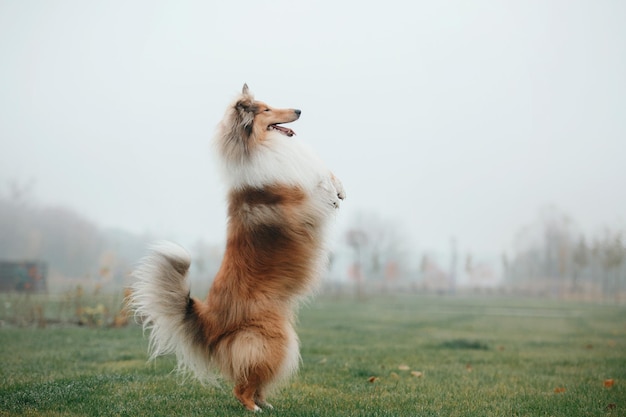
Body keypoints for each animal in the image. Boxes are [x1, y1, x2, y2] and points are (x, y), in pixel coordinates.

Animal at [129, 83, 344, 410]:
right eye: (266, 109)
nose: (299, 110)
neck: (257, 148)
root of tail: (210, 319)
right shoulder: (301, 198)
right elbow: (316, 183)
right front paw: (332, 192)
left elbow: (324, 172)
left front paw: (340, 188)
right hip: (272, 340)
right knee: (241, 387)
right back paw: (253, 408)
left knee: (252, 381)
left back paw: (266, 405)